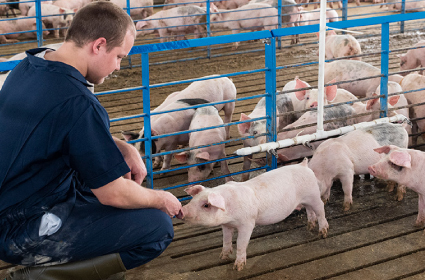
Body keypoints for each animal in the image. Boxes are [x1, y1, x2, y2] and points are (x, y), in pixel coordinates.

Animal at [176, 160, 328, 272]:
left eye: (206, 205)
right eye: (193, 200)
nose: (181, 210)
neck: (229, 213)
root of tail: (303, 165)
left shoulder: (247, 223)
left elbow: (241, 243)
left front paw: (238, 268)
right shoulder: (226, 225)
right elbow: (226, 240)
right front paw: (223, 257)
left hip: (313, 194)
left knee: (320, 209)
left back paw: (322, 233)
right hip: (306, 200)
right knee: (310, 210)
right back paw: (310, 226)